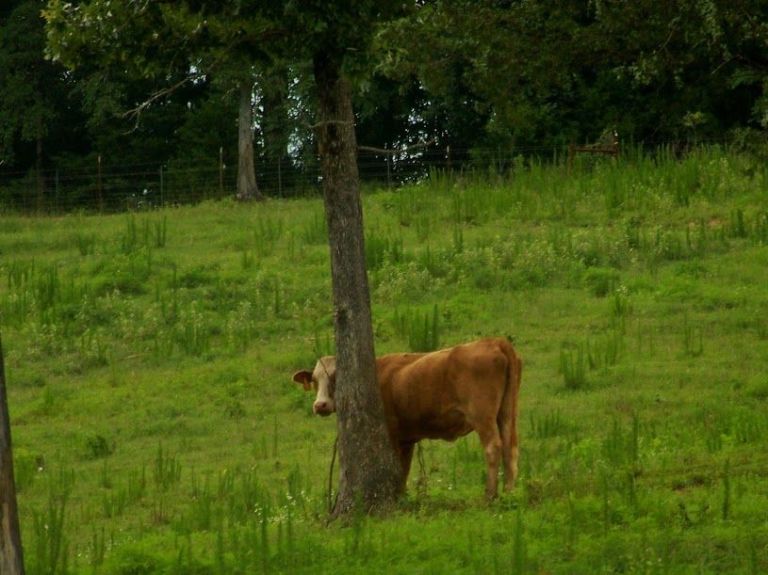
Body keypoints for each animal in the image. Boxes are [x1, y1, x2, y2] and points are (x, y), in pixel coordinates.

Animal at [292, 337, 522, 500]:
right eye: (315, 380)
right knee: (510, 447)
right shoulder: (407, 438)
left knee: (493, 447)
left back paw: (490, 494)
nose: (320, 405)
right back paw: (509, 491)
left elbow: (398, 467)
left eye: (336, 377)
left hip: (482, 415)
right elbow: (404, 468)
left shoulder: (392, 434)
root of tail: (494, 341)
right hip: (507, 412)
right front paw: (402, 496)